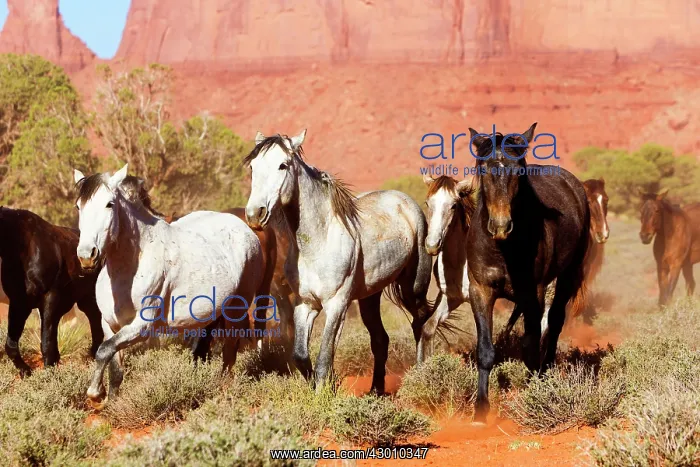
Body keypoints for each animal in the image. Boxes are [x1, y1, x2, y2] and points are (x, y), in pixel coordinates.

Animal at [0, 207, 104, 376]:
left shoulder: (49, 296)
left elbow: (46, 341)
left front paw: (48, 373)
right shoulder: (19, 303)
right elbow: (11, 344)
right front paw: (26, 371)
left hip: (89, 299)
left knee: (96, 321)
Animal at [73, 165, 264, 403]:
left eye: (110, 204)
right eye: (78, 206)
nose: (86, 256)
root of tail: (246, 229)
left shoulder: (141, 327)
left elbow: (103, 351)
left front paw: (94, 393)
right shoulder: (110, 325)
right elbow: (113, 365)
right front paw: (110, 400)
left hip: (237, 308)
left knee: (230, 351)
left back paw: (224, 388)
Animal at [244, 130, 433, 394]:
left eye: (283, 165)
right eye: (253, 166)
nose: (255, 214)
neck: (317, 243)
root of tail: (405, 201)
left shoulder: (336, 304)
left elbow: (324, 358)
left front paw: (324, 393)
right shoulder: (305, 304)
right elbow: (301, 355)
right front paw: (323, 388)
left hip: (412, 287)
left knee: (420, 322)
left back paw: (420, 373)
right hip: (369, 297)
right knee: (380, 339)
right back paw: (376, 391)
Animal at [466, 123, 590, 423]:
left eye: (518, 171)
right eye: (483, 168)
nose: (501, 226)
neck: (503, 249)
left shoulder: (535, 292)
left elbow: (531, 345)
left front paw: (535, 394)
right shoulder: (480, 290)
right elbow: (485, 350)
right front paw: (481, 410)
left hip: (567, 276)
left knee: (554, 323)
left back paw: (547, 371)